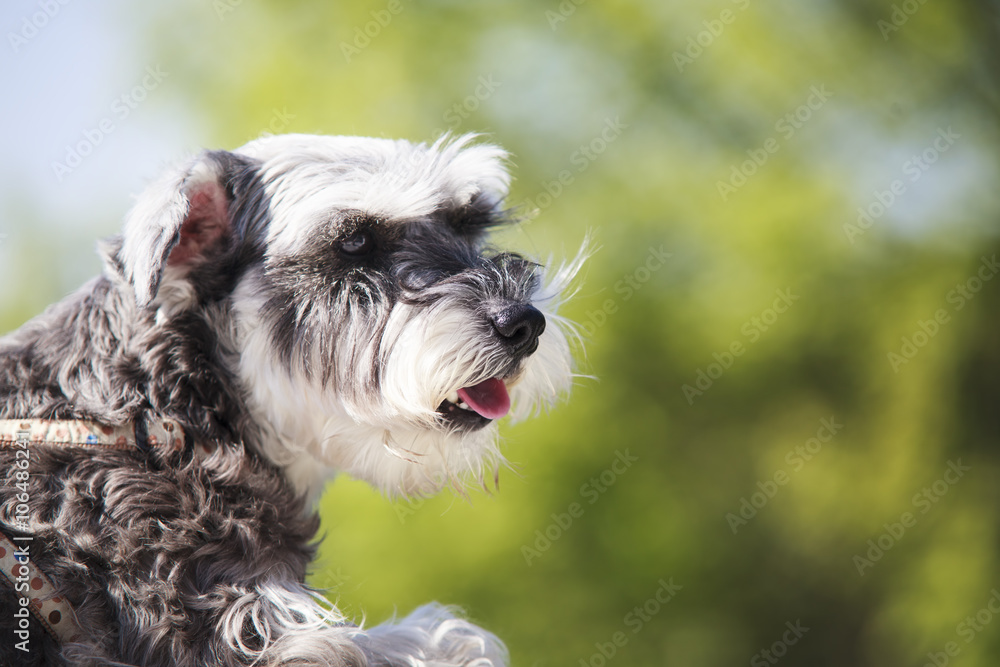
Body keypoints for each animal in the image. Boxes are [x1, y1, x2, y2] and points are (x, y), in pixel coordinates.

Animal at [0, 133, 580, 664]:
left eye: (467, 224)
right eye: (354, 243)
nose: (523, 324)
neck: (168, 418)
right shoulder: (245, 629)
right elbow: (452, 635)